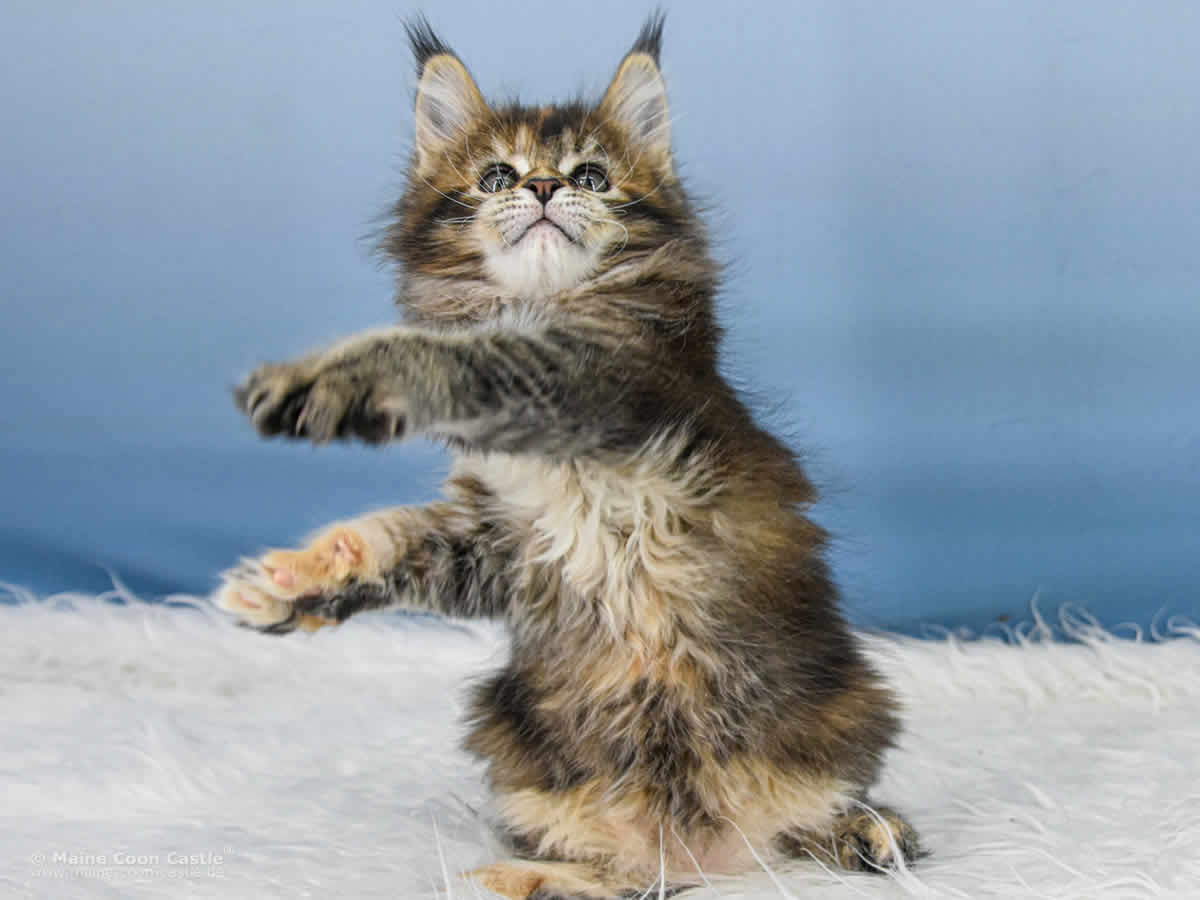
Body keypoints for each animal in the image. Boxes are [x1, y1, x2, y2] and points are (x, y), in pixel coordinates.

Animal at [214, 13, 920, 899]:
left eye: (591, 174)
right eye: (496, 177)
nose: (547, 188)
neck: (545, 304)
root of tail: (697, 852)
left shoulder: (600, 381)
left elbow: (443, 355)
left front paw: (323, 377)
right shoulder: (499, 537)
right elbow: (396, 537)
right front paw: (297, 580)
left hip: (847, 708)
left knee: (810, 833)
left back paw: (866, 831)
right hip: (513, 737)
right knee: (611, 874)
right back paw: (513, 876)